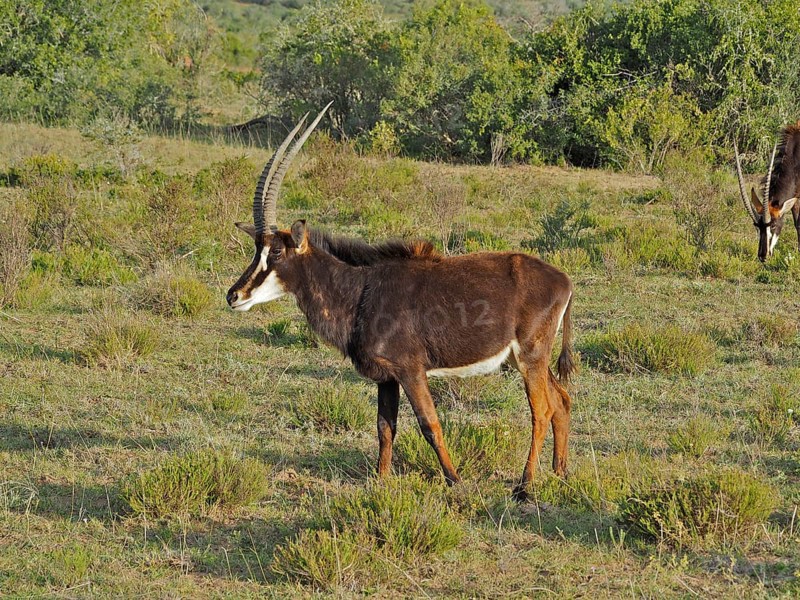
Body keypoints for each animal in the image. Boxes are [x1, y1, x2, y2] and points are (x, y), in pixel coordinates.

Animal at [226, 104, 576, 499]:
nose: (234, 295)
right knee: (562, 401)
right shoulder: (386, 378)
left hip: (530, 356)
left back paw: (525, 485)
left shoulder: (411, 370)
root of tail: (563, 280)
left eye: (276, 252)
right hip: (527, 359)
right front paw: (380, 483)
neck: (360, 289)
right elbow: (385, 427)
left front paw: (455, 482)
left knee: (541, 410)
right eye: (256, 249)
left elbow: (429, 424)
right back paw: (560, 474)